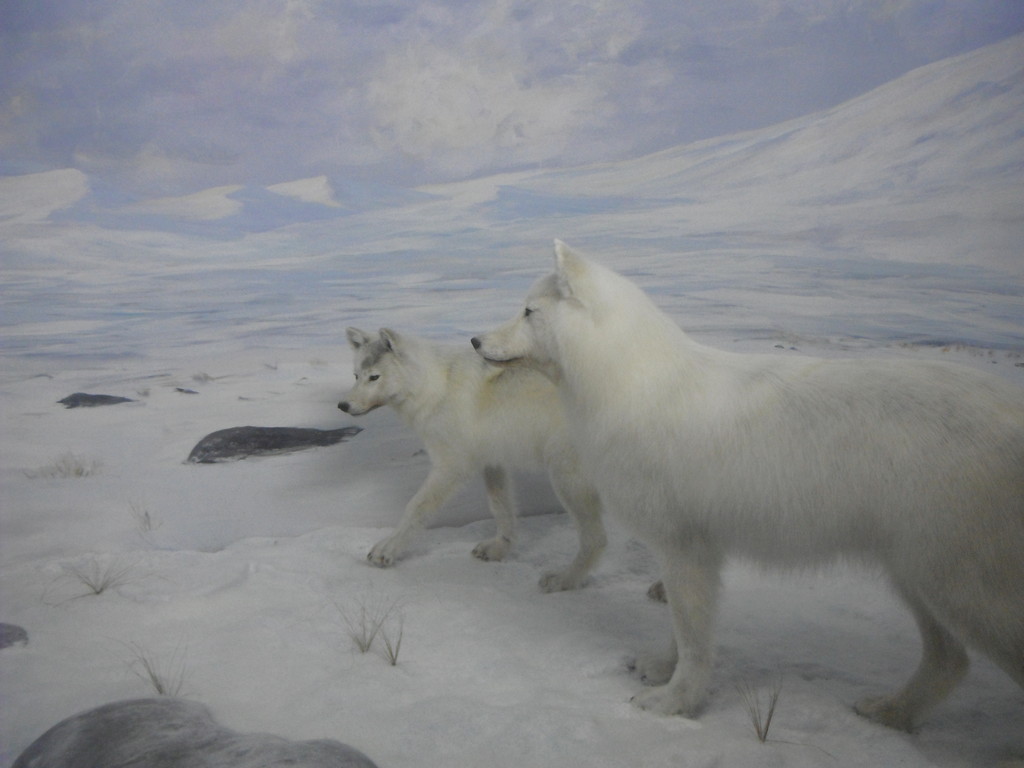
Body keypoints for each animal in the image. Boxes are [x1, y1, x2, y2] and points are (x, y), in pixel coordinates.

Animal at [335, 327, 606, 593]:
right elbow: (501, 509)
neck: (436, 387)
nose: (343, 405)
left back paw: (565, 579)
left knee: (597, 540)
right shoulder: (492, 462)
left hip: (565, 477)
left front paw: (387, 550)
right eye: (356, 375)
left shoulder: (451, 467)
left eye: (374, 377)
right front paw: (499, 548)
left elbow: (415, 508)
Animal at [473, 241, 1024, 733]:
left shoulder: (685, 546)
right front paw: (662, 670)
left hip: (961, 590)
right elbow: (683, 628)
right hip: (919, 578)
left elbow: (694, 640)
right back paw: (892, 714)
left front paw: (674, 703)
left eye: (527, 311)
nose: (475, 341)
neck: (633, 385)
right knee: (950, 661)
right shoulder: (692, 551)